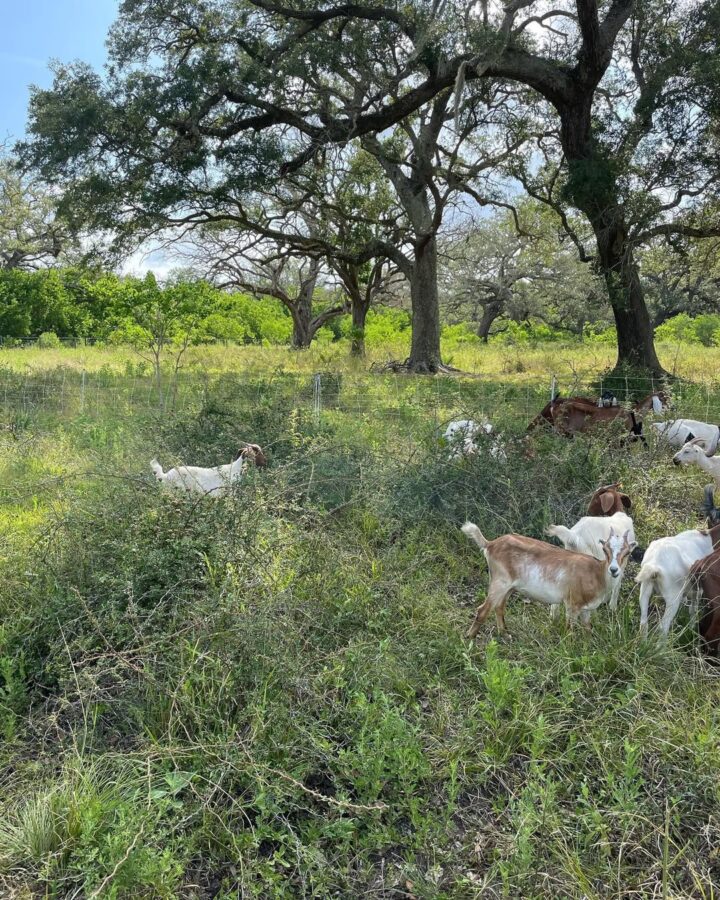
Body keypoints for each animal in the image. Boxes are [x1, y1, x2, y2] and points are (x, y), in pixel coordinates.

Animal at [461, 522, 636, 636]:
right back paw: (470, 639)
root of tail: (491, 544)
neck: (596, 572)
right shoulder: (572, 605)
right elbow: (569, 631)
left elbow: (588, 630)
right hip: (500, 582)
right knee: (483, 610)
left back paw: (505, 634)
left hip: (509, 586)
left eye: (627, 552)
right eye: (605, 550)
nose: (614, 570)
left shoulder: (586, 610)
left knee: (499, 607)